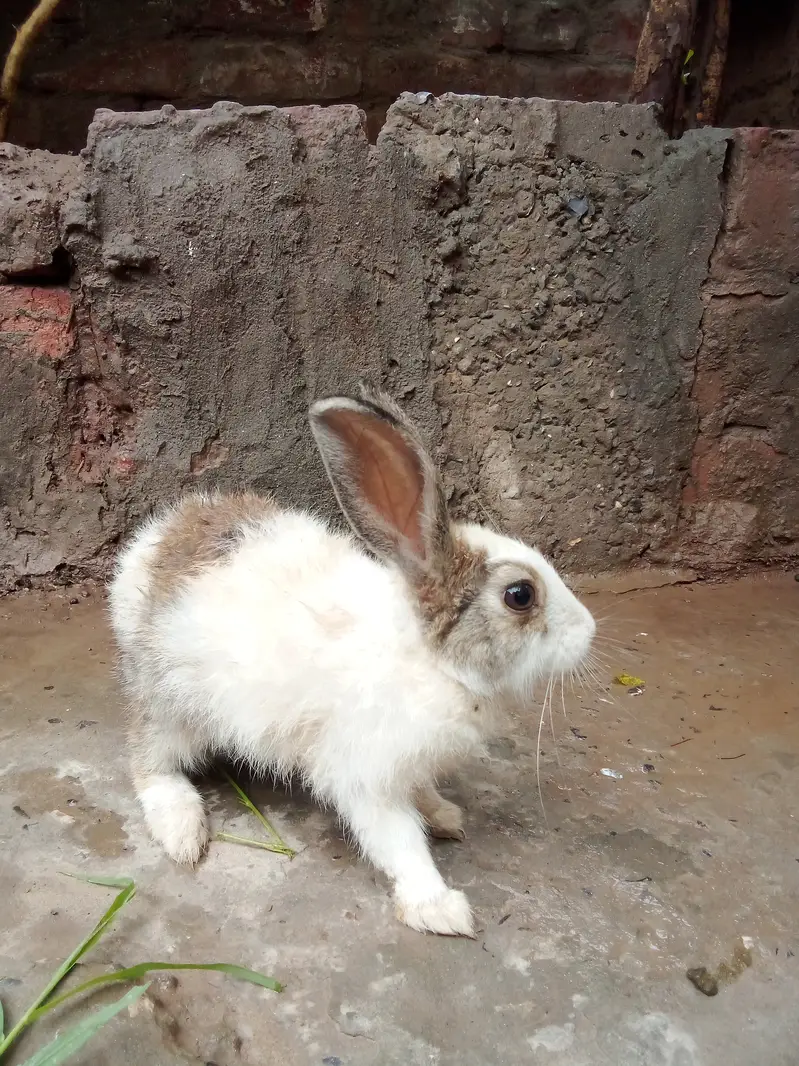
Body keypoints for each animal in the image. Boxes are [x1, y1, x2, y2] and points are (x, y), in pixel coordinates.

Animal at [108, 388, 595, 937]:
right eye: (520, 595)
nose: (589, 631)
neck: (428, 658)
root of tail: (145, 550)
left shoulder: (408, 765)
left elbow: (421, 795)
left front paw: (444, 815)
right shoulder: (367, 774)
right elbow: (399, 842)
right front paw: (440, 909)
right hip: (171, 703)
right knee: (150, 762)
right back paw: (182, 832)